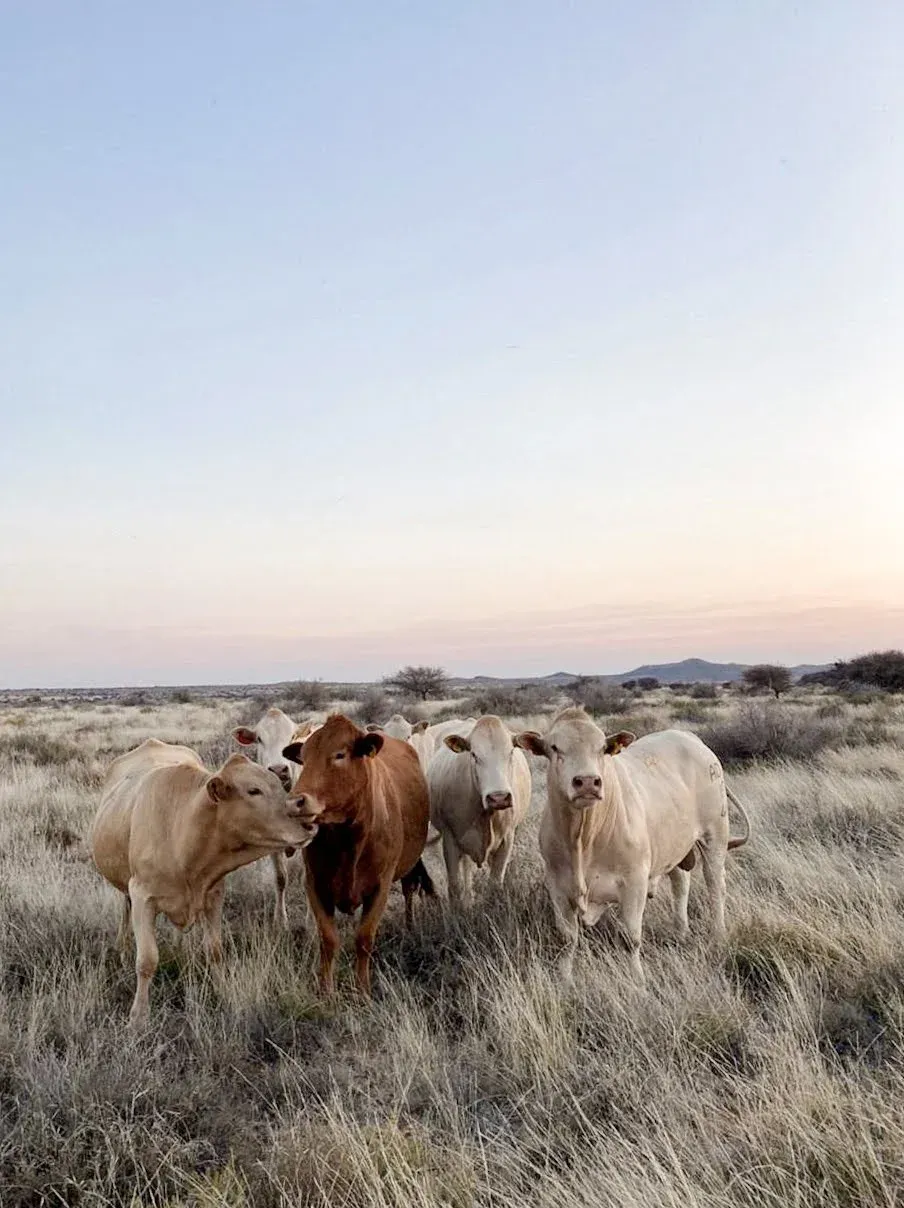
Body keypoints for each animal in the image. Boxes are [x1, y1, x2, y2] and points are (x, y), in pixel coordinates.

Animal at [91, 739, 318, 1025]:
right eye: (253, 790)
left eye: (279, 784)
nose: (308, 822)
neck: (181, 830)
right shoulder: (143, 897)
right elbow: (147, 960)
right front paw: (138, 1016)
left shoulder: (214, 894)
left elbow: (215, 950)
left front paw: (222, 992)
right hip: (126, 887)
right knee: (125, 908)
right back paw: (122, 949)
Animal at [233, 708, 320, 926]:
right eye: (259, 739)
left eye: (292, 737)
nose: (279, 769)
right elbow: (280, 879)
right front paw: (280, 920)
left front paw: (310, 920)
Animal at [282, 713, 434, 996]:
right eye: (303, 758)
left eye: (339, 754)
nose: (294, 803)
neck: (346, 840)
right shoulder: (315, 884)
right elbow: (328, 940)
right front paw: (326, 990)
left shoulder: (380, 887)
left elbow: (364, 939)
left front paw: (363, 990)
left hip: (408, 866)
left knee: (409, 890)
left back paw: (410, 927)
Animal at [428, 715, 531, 904]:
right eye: (474, 755)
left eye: (510, 752)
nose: (499, 797)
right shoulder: (450, 839)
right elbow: (455, 886)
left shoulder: (507, 839)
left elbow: (495, 883)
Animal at [514, 708, 751, 984]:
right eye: (554, 747)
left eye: (602, 748)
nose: (587, 782)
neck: (583, 838)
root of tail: (690, 738)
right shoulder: (558, 886)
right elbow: (567, 938)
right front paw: (565, 979)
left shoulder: (634, 882)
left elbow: (630, 938)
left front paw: (638, 979)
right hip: (675, 846)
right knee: (680, 884)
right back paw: (681, 931)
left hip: (715, 836)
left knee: (716, 887)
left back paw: (718, 935)